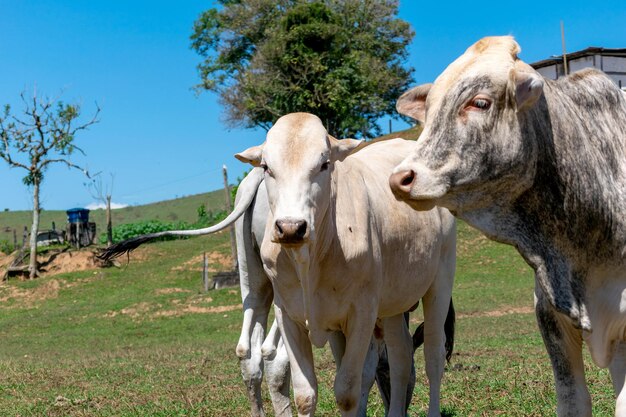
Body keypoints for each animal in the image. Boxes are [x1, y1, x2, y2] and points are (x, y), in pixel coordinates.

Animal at [233, 111, 454, 416]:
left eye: (324, 164)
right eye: (267, 166)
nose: (290, 228)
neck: (310, 259)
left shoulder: (362, 314)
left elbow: (348, 391)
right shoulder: (288, 315)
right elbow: (305, 394)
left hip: (440, 282)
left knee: (433, 357)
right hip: (392, 303)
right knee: (401, 359)